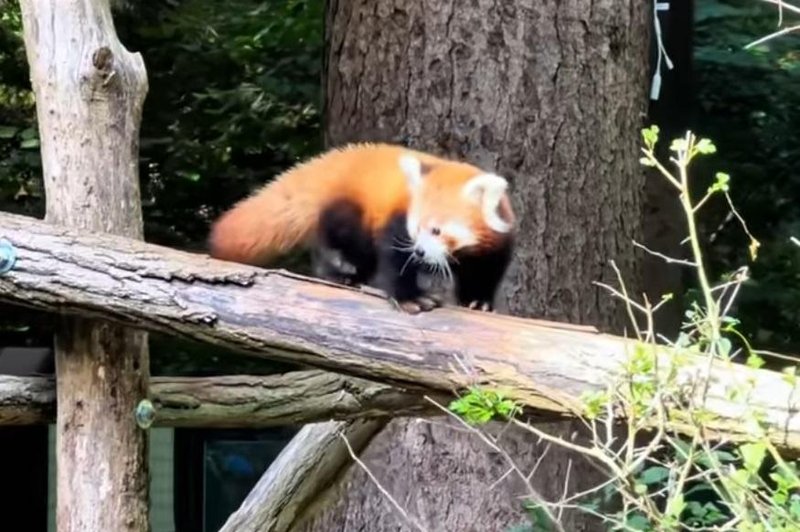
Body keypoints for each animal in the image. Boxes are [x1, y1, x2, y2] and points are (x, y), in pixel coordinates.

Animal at [206, 143, 516, 314]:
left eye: (437, 231)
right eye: (416, 228)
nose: (419, 252)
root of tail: (337, 162)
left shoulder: (496, 245)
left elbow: (486, 272)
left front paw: (478, 301)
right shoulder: (395, 220)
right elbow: (395, 260)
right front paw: (410, 299)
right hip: (350, 211)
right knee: (343, 243)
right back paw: (340, 274)